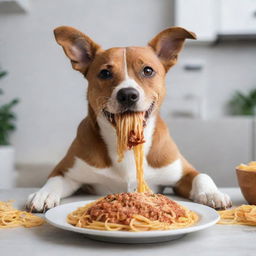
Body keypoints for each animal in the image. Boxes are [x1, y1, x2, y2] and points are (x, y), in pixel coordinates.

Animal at [25, 26, 232, 212]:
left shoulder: (183, 171)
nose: (127, 95)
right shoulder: (67, 170)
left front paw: (212, 194)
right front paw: (43, 194)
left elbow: (202, 175)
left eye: (147, 71)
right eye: (105, 73)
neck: (126, 145)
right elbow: (54, 180)